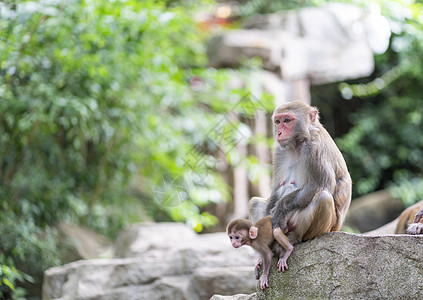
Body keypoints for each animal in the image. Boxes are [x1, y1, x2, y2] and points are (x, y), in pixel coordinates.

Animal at [248, 102, 354, 254]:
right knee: (254, 203)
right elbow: (276, 188)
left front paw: (280, 208)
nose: (279, 133)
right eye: (278, 121)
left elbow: (320, 185)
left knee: (323, 197)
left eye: (287, 120)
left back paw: (294, 238)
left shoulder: (315, 149)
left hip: (323, 228)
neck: (298, 143)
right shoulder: (279, 150)